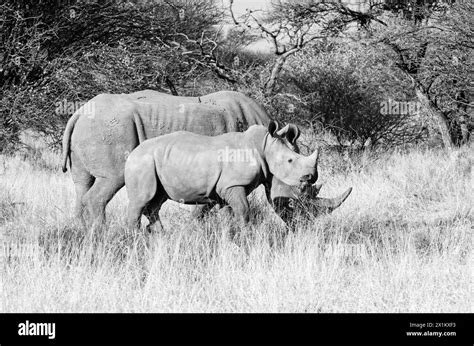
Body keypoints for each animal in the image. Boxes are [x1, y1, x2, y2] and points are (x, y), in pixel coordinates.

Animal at [125, 121, 318, 232]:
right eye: (290, 160)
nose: (310, 177)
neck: (263, 145)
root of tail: (132, 153)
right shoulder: (233, 184)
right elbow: (244, 211)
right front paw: (247, 236)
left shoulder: (226, 188)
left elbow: (229, 215)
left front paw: (230, 237)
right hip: (142, 162)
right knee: (141, 201)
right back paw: (134, 239)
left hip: (154, 163)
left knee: (156, 202)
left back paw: (160, 237)